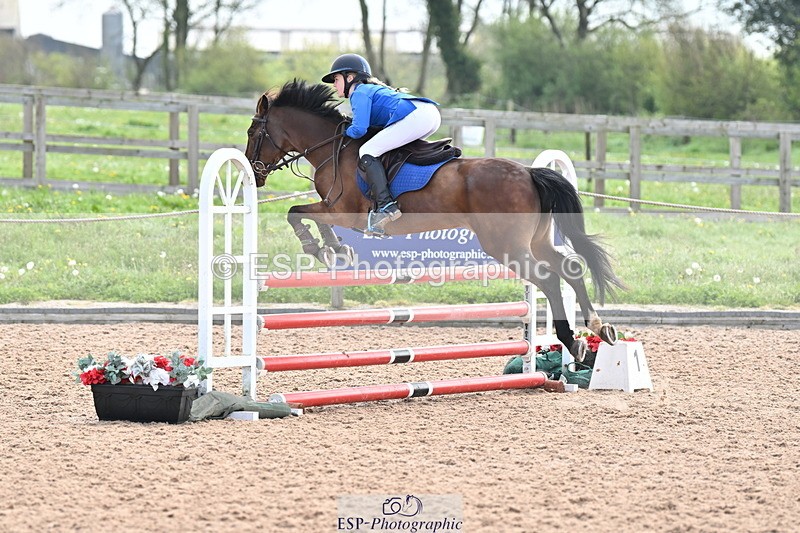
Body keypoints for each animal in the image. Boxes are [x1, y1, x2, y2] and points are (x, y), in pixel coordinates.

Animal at [244, 80, 625, 361]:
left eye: (252, 133)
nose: (254, 172)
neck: (332, 148)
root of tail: (530, 172)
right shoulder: (333, 209)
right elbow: (308, 217)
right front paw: (335, 250)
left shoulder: (342, 210)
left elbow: (296, 213)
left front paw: (320, 248)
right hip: (537, 241)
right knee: (570, 267)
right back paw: (596, 328)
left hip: (507, 247)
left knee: (548, 279)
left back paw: (572, 340)